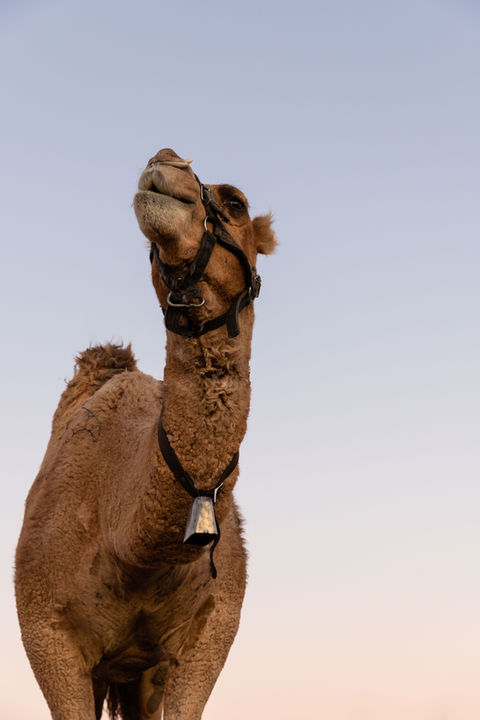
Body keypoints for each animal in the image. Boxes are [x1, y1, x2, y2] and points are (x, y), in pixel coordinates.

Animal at [15, 148, 276, 720]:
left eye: (236, 203)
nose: (166, 160)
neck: (133, 546)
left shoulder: (211, 632)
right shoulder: (45, 628)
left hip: (141, 672)